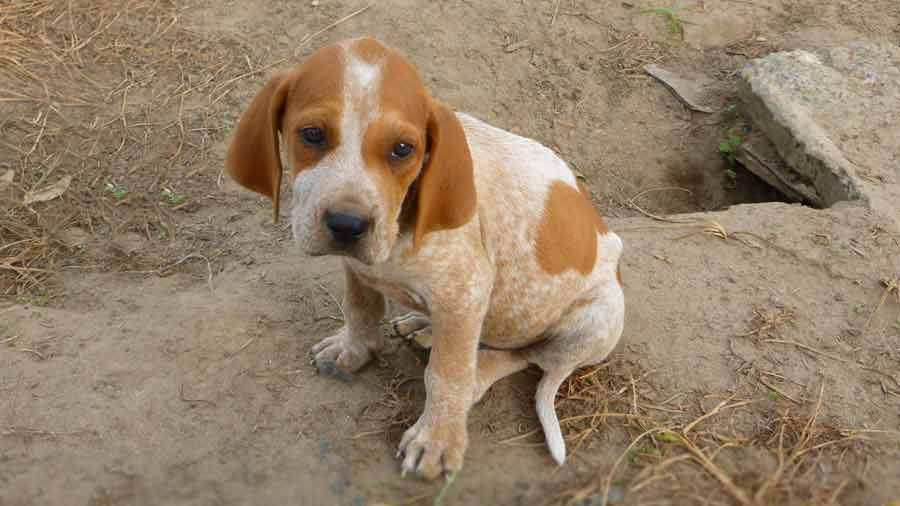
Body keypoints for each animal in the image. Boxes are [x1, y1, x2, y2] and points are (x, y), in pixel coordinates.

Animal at [225, 37, 624, 480]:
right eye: (311, 134)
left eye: (403, 149)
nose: (348, 225)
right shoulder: (359, 267)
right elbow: (360, 307)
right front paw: (354, 348)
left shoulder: (465, 292)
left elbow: (447, 374)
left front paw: (437, 440)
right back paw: (423, 325)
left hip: (596, 321)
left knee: (529, 357)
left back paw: (478, 372)